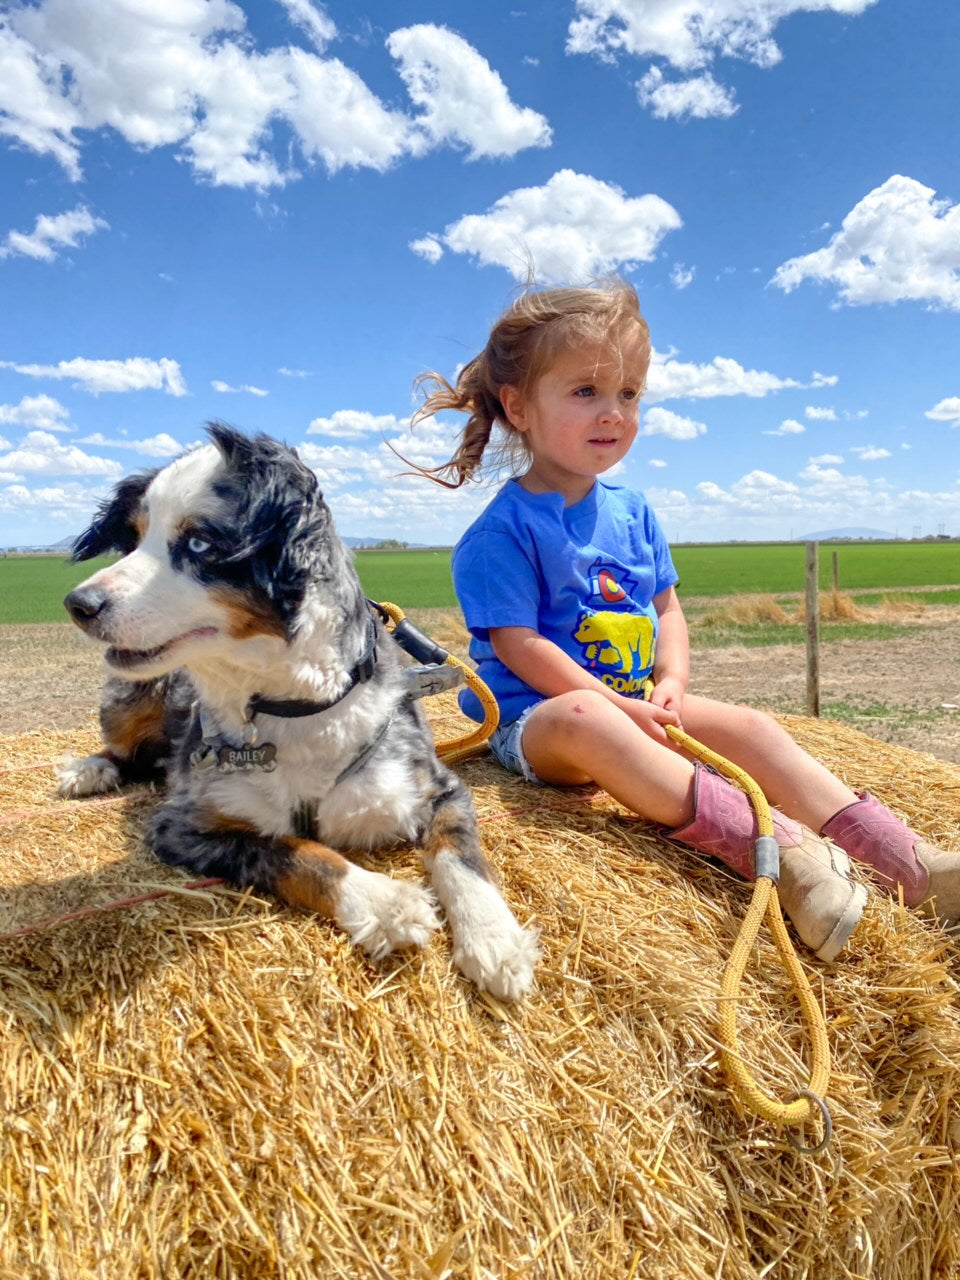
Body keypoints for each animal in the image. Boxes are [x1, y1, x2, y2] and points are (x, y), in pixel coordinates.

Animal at [58, 419, 542, 998]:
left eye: (199, 542)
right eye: (133, 539)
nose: (78, 605)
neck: (293, 705)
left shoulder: (438, 788)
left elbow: (462, 856)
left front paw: (495, 938)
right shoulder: (183, 826)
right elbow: (297, 851)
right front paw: (386, 903)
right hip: (134, 695)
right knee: (123, 749)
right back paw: (90, 770)